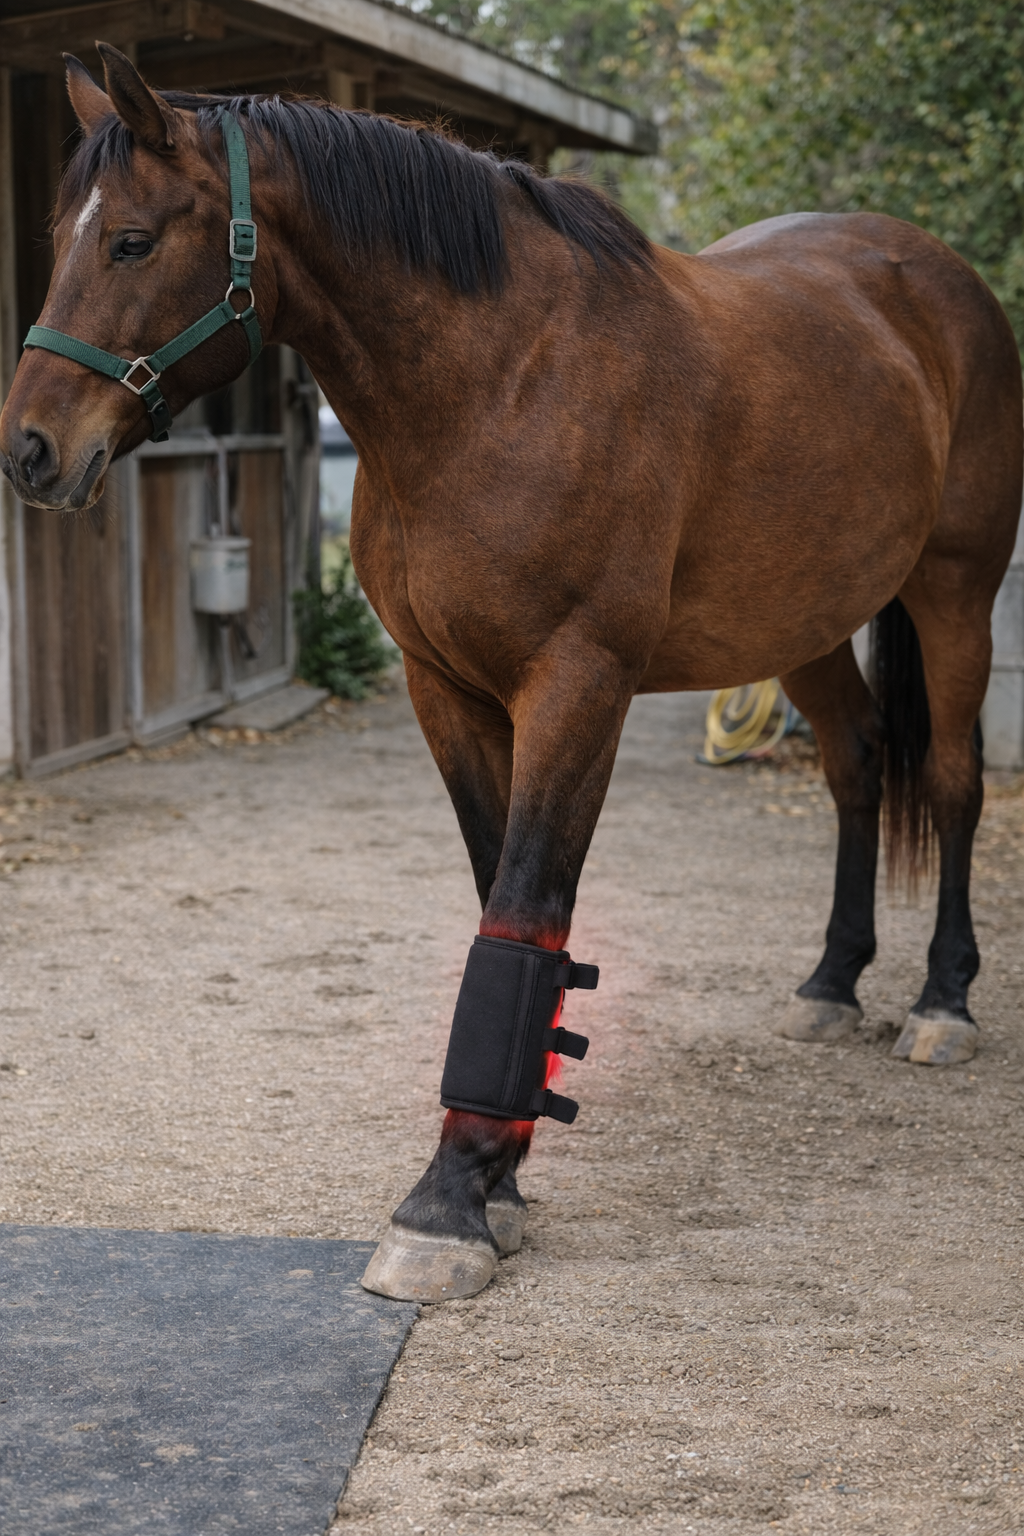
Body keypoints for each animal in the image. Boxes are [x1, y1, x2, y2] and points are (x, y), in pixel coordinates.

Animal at [1, 46, 1019, 1303]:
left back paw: (941, 1000)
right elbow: (500, 896)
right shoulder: (445, 692)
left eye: (134, 241)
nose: (31, 451)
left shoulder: (576, 685)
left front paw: (449, 1201)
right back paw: (832, 984)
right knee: (859, 764)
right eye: (61, 235)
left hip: (953, 594)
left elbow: (526, 908)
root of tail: (930, 277)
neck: (499, 384)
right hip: (807, 623)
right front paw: (503, 1179)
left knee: (954, 780)